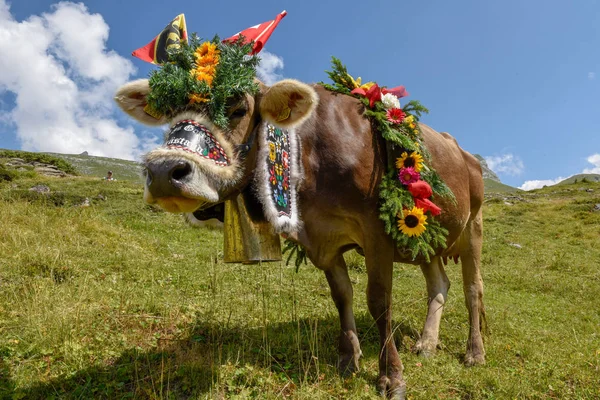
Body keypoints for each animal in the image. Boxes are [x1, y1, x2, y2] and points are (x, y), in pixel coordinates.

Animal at [115, 76, 486, 398]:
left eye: (238, 109)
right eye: (169, 113)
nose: (164, 171)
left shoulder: (376, 231)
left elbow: (379, 301)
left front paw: (391, 377)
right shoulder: (323, 240)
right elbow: (342, 296)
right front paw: (348, 358)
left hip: (473, 226)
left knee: (473, 290)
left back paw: (474, 352)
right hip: (428, 239)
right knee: (439, 284)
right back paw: (426, 343)